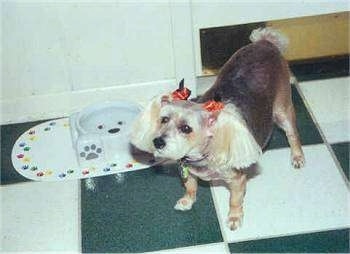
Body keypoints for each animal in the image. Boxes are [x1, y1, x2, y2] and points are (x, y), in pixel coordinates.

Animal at [130, 27, 304, 230]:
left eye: (186, 128)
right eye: (164, 119)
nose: (157, 142)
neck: (202, 154)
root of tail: (265, 42)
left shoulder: (237, 180)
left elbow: (234, 201)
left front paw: (234, 218)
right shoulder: (188, 172)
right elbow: (190, 186)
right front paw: (187, 200)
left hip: (283, 110)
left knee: (293, 134)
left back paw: (297, 156)